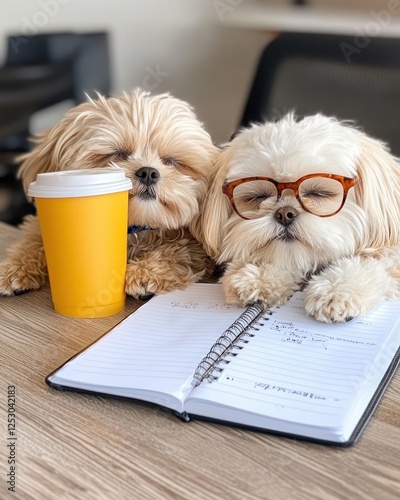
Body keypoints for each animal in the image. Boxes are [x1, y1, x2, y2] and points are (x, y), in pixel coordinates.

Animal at [0, 88, 219, 298]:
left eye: (171, 161)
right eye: (117, 154)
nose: (148, 173)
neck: (135, 229)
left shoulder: (193, 247)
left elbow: (179, 250)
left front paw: (145, 273)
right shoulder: (39, 226)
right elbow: (33, 242)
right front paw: (13, 268)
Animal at [202, 113, 400, 322]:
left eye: (318, 193)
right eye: (258, 196)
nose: (284, 213)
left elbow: (376, 262)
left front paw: (338, 289)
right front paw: (258, 273)